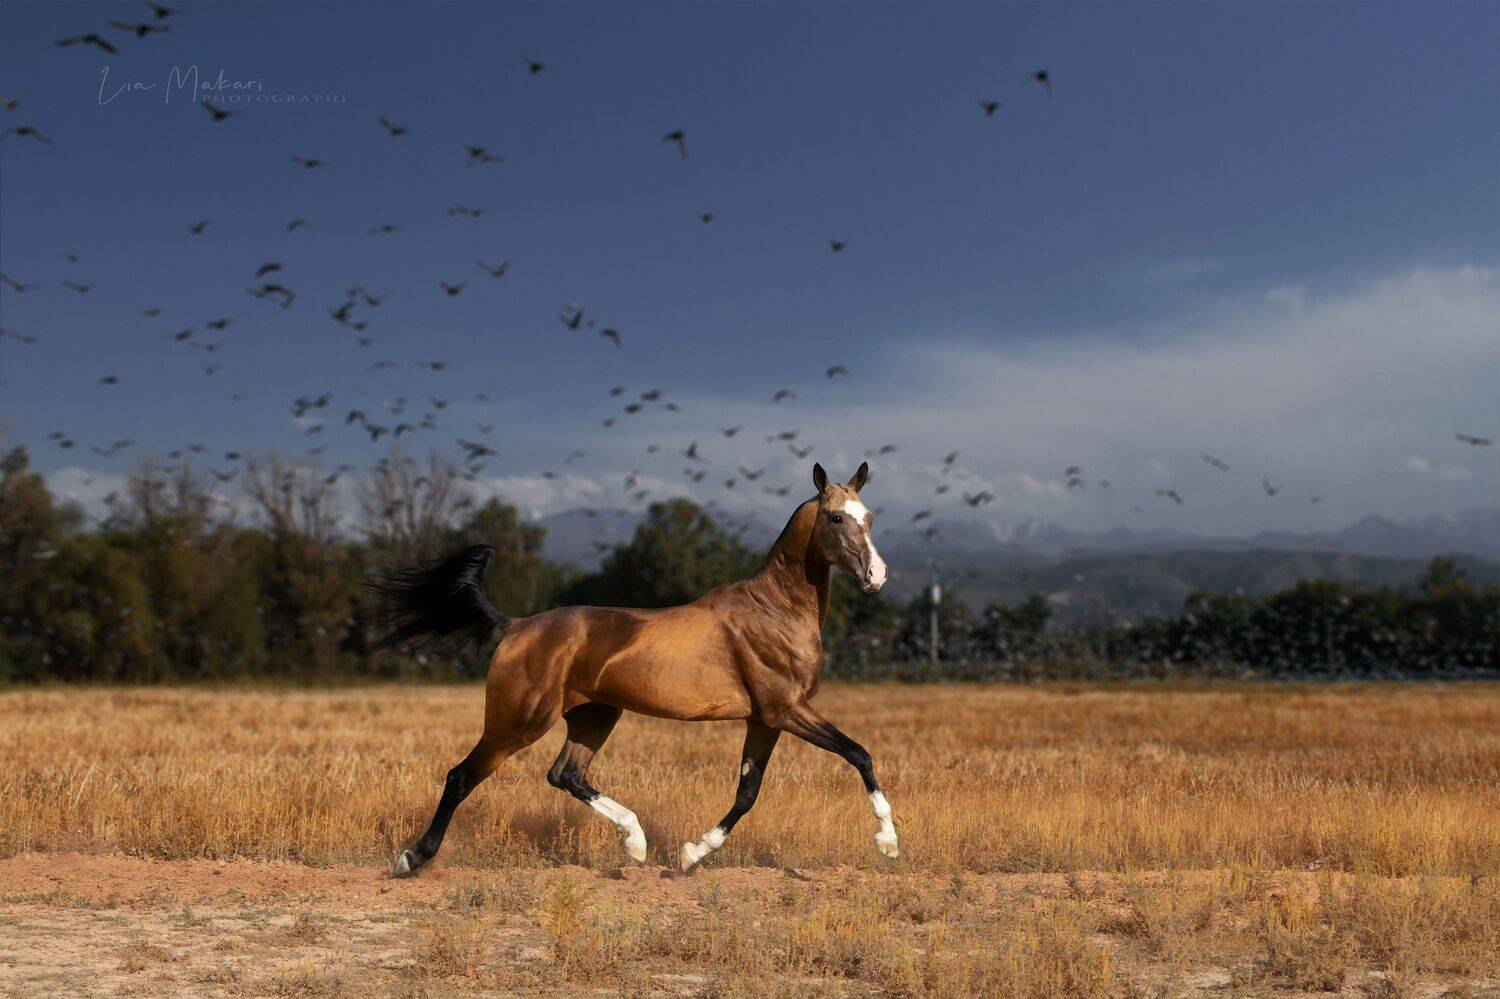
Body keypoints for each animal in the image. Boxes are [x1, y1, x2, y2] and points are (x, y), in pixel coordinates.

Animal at [369, 462, 898, 875]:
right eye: (835, 516)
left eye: (869, 517)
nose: (877, 576)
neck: (774, 609)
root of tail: (516, 625)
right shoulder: (787, 710)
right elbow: (859, 753)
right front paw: (888, 841)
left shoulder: (764, 720)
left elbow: (748, 792)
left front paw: (690, 854)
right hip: (515, 723)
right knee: (461, 776)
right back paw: (412, 858)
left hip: (595, 715)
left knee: (565, 774)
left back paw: (636, 842)